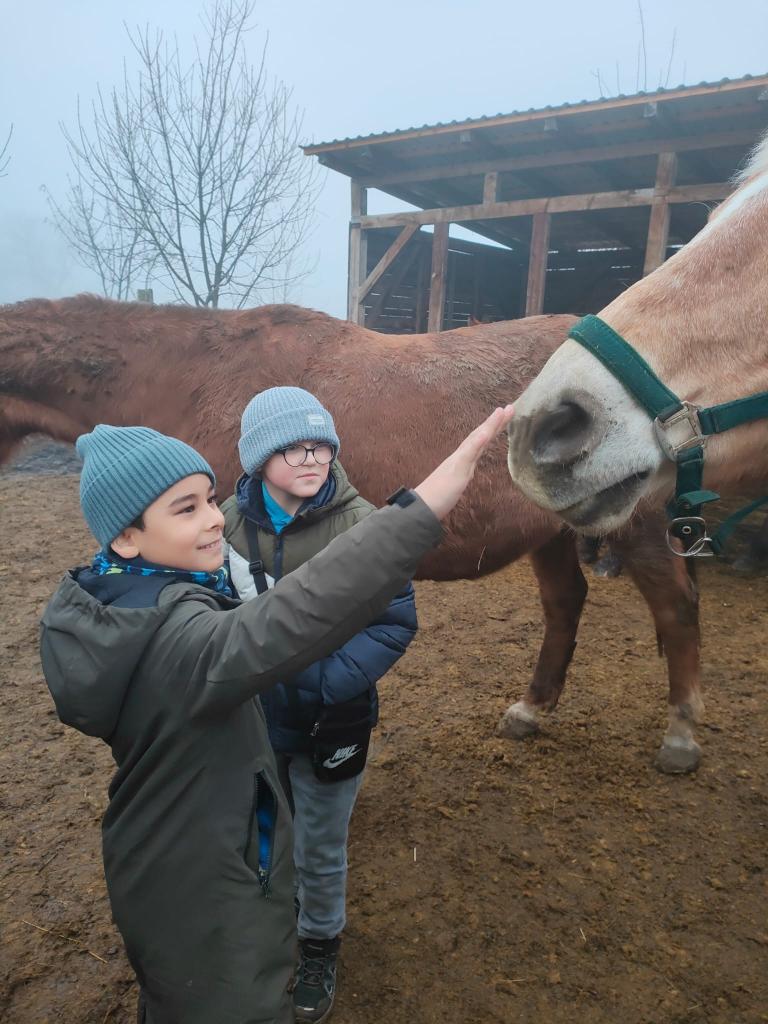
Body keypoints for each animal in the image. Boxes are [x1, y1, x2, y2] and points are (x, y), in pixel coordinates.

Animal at [0, 295, 701, 771]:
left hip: (632, 524)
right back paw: (529, 711)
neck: (198, 380)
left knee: (675, 606)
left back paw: (681, 736)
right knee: (565, 605)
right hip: (553, 531)